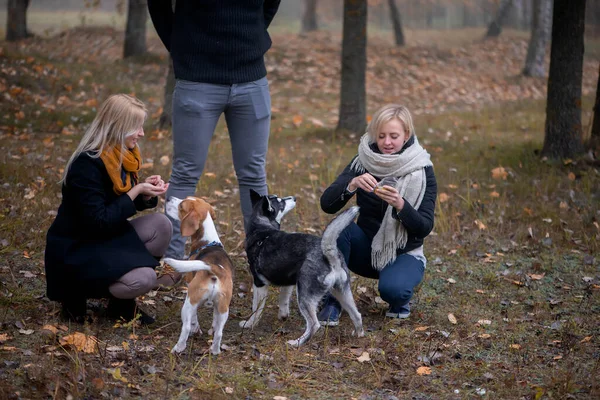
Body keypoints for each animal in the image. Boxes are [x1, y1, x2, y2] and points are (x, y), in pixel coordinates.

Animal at [164, 195, 234, 354]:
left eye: (181, 206)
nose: (168, 197)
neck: (207, 241)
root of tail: (215, 269)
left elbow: (194, 319)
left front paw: (195, 329)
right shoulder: (217, 307)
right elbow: (215, 323)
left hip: (189, 302)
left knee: (186, 327)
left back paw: (178, 348)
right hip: (224, 307)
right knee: (219, 333)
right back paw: (215, 350)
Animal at [240, 191, 366, 346]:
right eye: (281, 202)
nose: (294, 198)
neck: (262, 230)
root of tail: (329, 255)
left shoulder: (259, 283)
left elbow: (256, 309)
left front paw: (249, 324)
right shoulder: (288, 282)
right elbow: (284, 302)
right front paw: (283, 316)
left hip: (305, 297)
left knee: (314, 325)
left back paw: (297, 342)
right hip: (341, 292)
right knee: (357, 315)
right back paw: (358, 334)